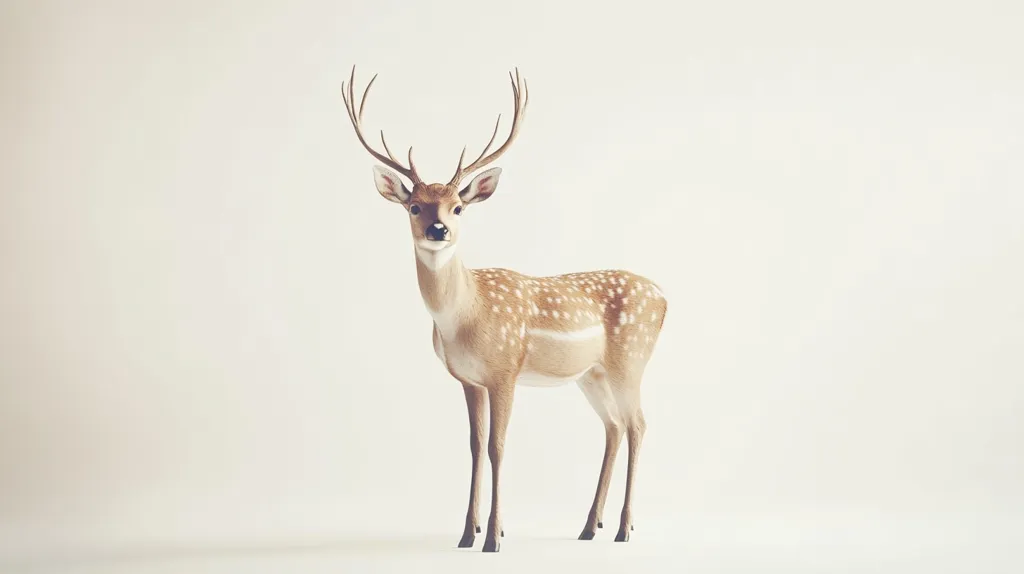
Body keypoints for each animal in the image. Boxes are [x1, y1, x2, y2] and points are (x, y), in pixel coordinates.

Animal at [340, 66, 668, 553]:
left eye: (458, 207)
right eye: (414, 206)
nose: (438, 229)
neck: (466, 316)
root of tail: (664, 296)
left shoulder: (505, 370)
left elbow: (498, 446)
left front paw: (494, 536)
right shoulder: (469, 380)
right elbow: (475, 447)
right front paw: (466, 533)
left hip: (631, 358)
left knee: (638, 424)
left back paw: (624, 529)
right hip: (591, 374)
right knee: (612, 426)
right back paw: (590, 526)